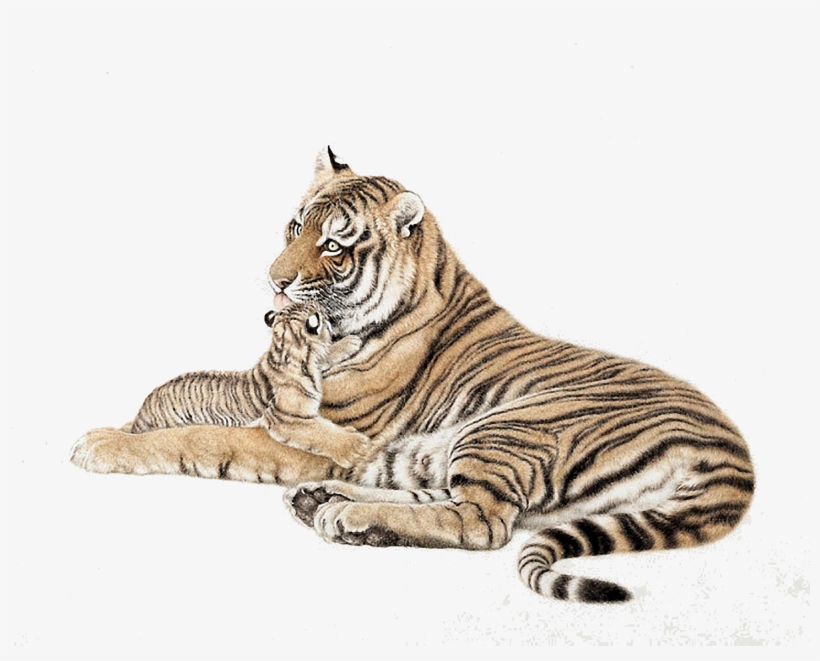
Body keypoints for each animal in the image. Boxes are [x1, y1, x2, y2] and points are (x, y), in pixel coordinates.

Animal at [72, 146, 755, 603]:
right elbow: (187, 401)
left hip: (510, 427)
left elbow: (204, 436)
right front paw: (120, 425)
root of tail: (735, 457)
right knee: (433, 491)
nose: (274, 281)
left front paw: (101, 444)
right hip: (447, 445)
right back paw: (327, 504)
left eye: (333, 245)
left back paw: (343, 511)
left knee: (480, 521)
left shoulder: (311, 427)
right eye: (295, 226)